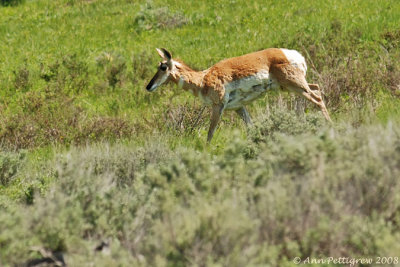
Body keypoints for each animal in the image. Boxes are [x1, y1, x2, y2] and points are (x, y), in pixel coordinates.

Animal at [147, 48, 332, 142]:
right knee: (316, 89)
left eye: (163, 67)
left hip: (294, 84)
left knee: (317, 98)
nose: (148, 86)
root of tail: (295, 55)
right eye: (157, 66)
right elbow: (251, 127)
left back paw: (331, 129)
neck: (204, 78)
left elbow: (210, 134)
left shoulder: (218, 107)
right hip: (292, 86)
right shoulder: (238, 108)